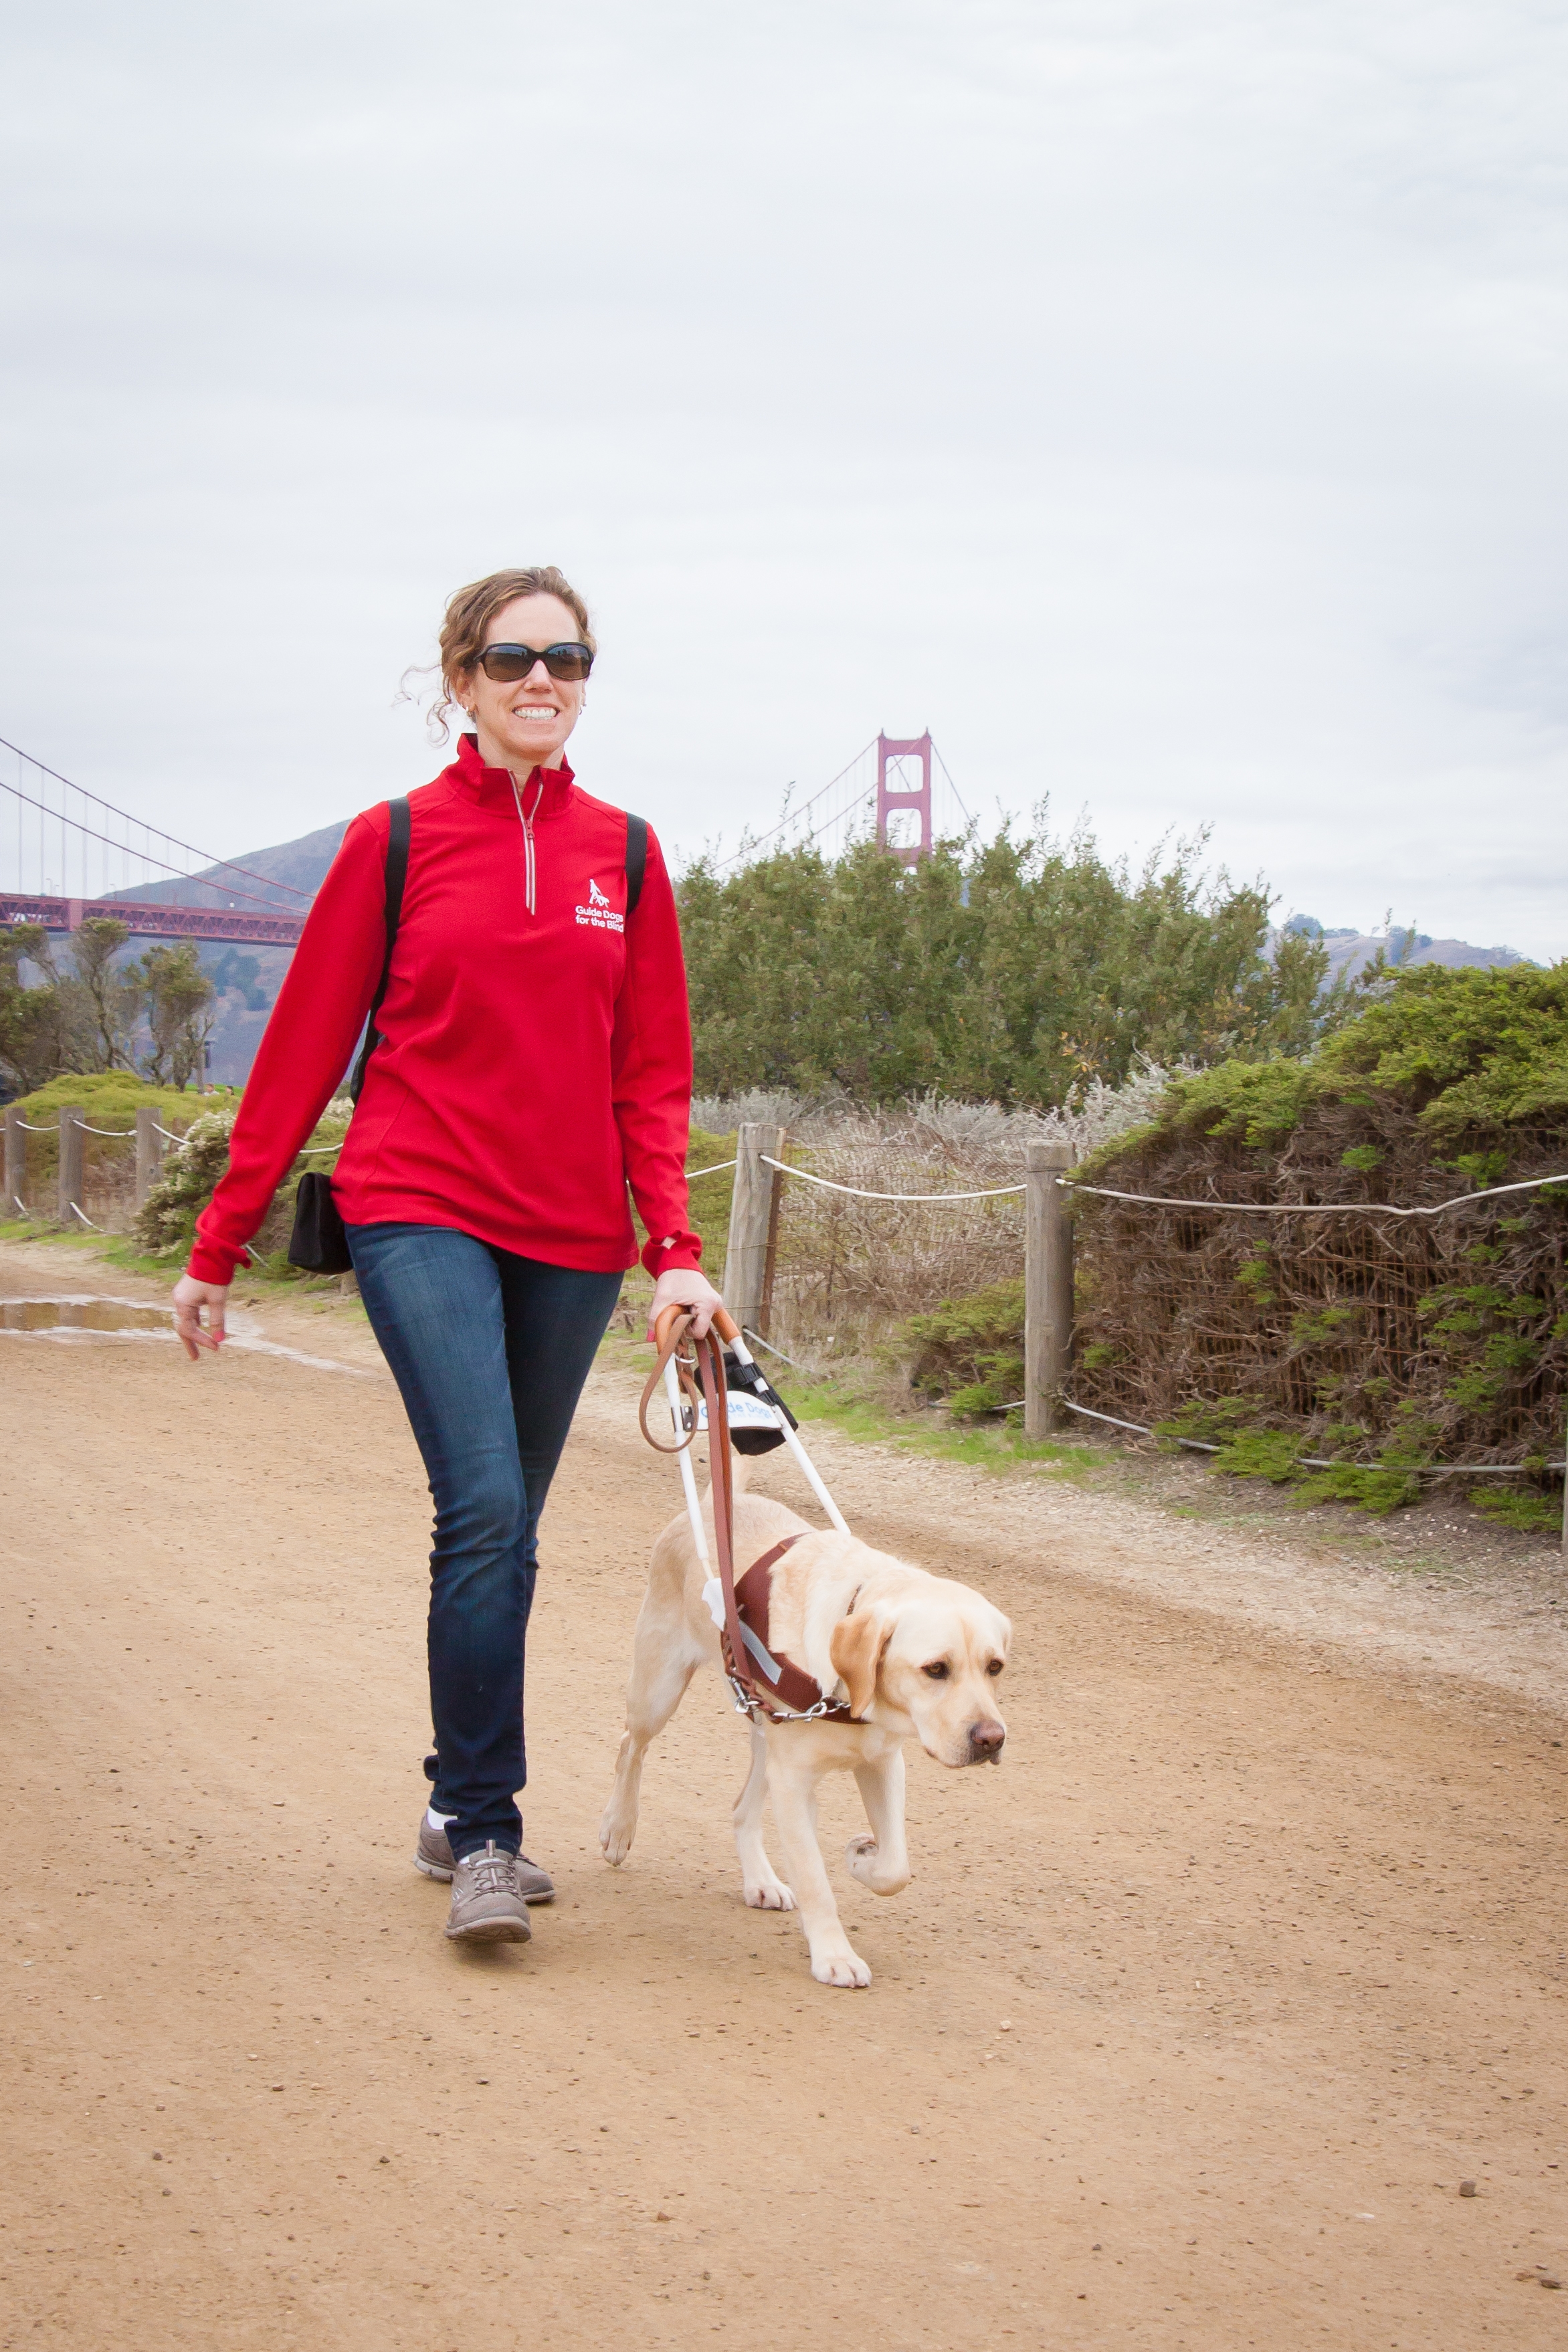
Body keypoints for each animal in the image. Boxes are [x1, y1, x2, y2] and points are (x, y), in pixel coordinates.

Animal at [595, 1467, 1011, 1985]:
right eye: (936, 1669)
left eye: (995, 1667)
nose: (992, 1740)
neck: (852, 1693)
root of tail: (716, 1501)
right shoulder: (794, 1783)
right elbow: (815, 1881)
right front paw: (835, 1956)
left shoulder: (881, 1764)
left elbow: (896, 1868)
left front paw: (862, 1859)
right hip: (659, 1692)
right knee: (630, 1746)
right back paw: (618, 1828)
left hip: (762, 1733)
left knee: (741, 1808)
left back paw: (761, 1881)